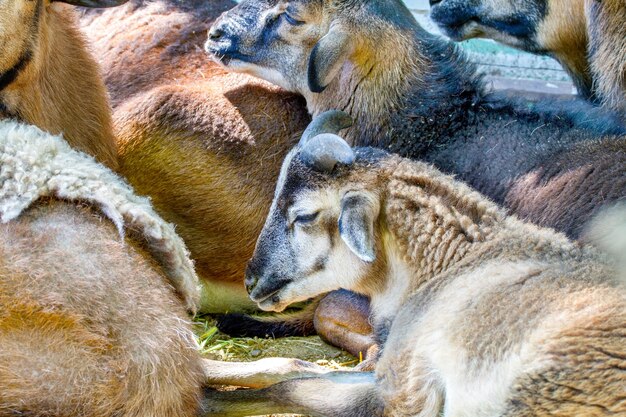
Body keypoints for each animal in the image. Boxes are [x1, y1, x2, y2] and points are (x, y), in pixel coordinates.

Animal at [200, 110, 624, 416]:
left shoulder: (402, 392)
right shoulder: (383, 369)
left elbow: (289, 389)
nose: (252, 280)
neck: (448, 264)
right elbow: (293, 370)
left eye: (303, 216)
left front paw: (208, 398)